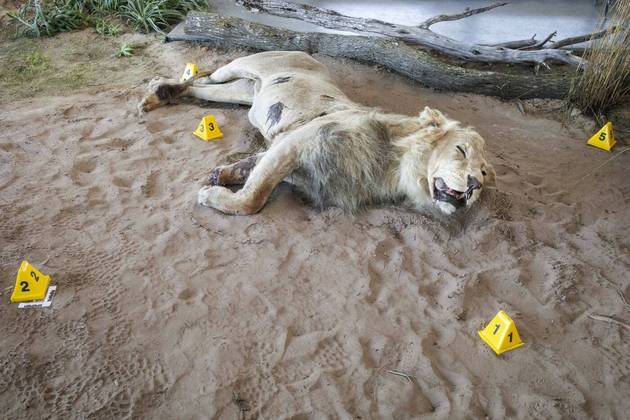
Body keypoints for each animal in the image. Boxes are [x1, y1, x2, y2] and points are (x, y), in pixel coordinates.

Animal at [141, 51, 496, 215]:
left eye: (483, 174)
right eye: (461, 150)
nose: (474, 186)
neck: (393, 167)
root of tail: (304, 52)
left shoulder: (284, 150)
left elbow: (251, 168)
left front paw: (221, 175)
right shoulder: (294, 145)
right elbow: (253, 197)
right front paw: (210, 195)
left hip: (240, 93)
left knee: (199, 87)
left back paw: (162, 94)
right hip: (238, 66)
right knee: (202, 75)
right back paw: (155, 92)